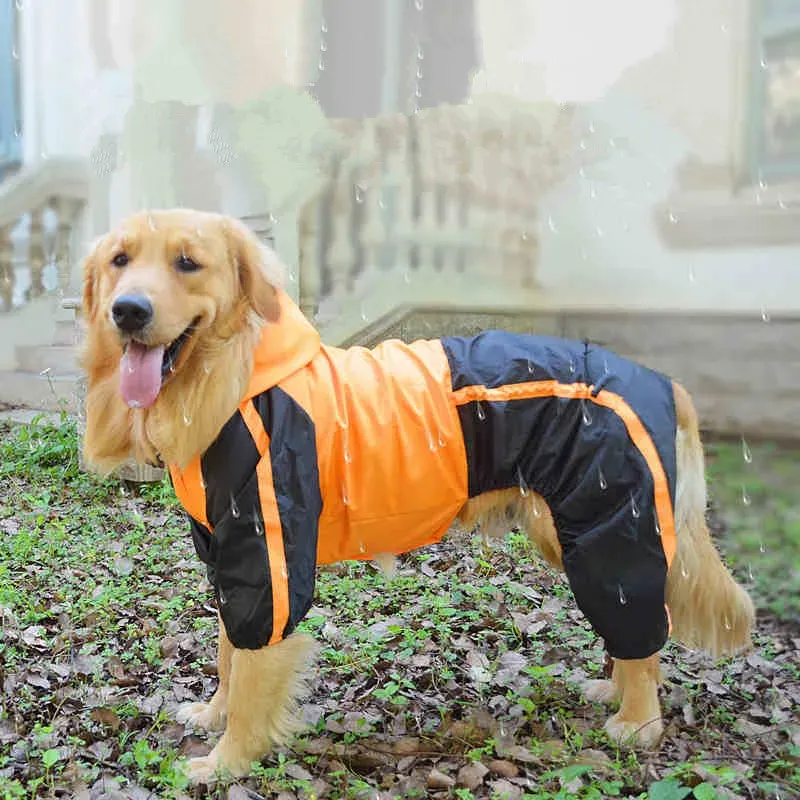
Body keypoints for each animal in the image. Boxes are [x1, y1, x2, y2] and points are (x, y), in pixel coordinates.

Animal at [81, 209, 756, 784]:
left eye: (187, 262)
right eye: (120, 259)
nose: (128, 311)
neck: (236, 377)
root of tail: (660, 380)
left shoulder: (268, 557)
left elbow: (250, 670)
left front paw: (227, 760)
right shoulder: (228, 557)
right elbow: (227, 654)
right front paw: (212, 714)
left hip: (610, 532)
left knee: (643, 629)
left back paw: (637, 722)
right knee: (635, 631)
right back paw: (614, 691)